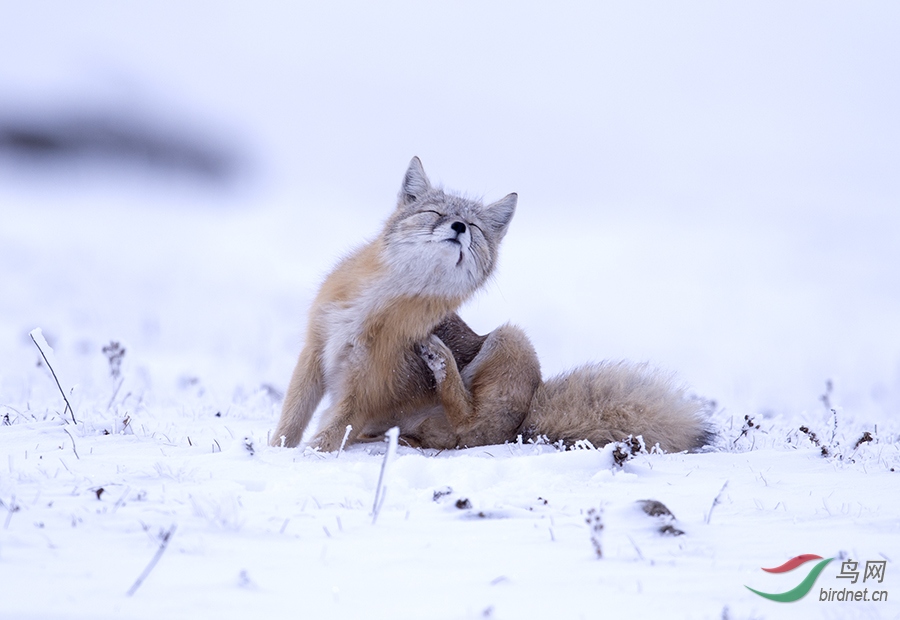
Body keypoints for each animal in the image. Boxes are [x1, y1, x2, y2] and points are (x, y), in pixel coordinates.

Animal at [270, 157, 712, 452]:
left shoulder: (363, 390)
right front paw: (276, 451)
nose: (458, 227)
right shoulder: (315, 351)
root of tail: (526, 418)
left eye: (476, 228)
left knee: (468, 422)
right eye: (435, 212)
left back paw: (441, 362)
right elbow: (291, 419)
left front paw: (304, 460)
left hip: (511, 338)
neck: (376, 306)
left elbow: (326, 435)